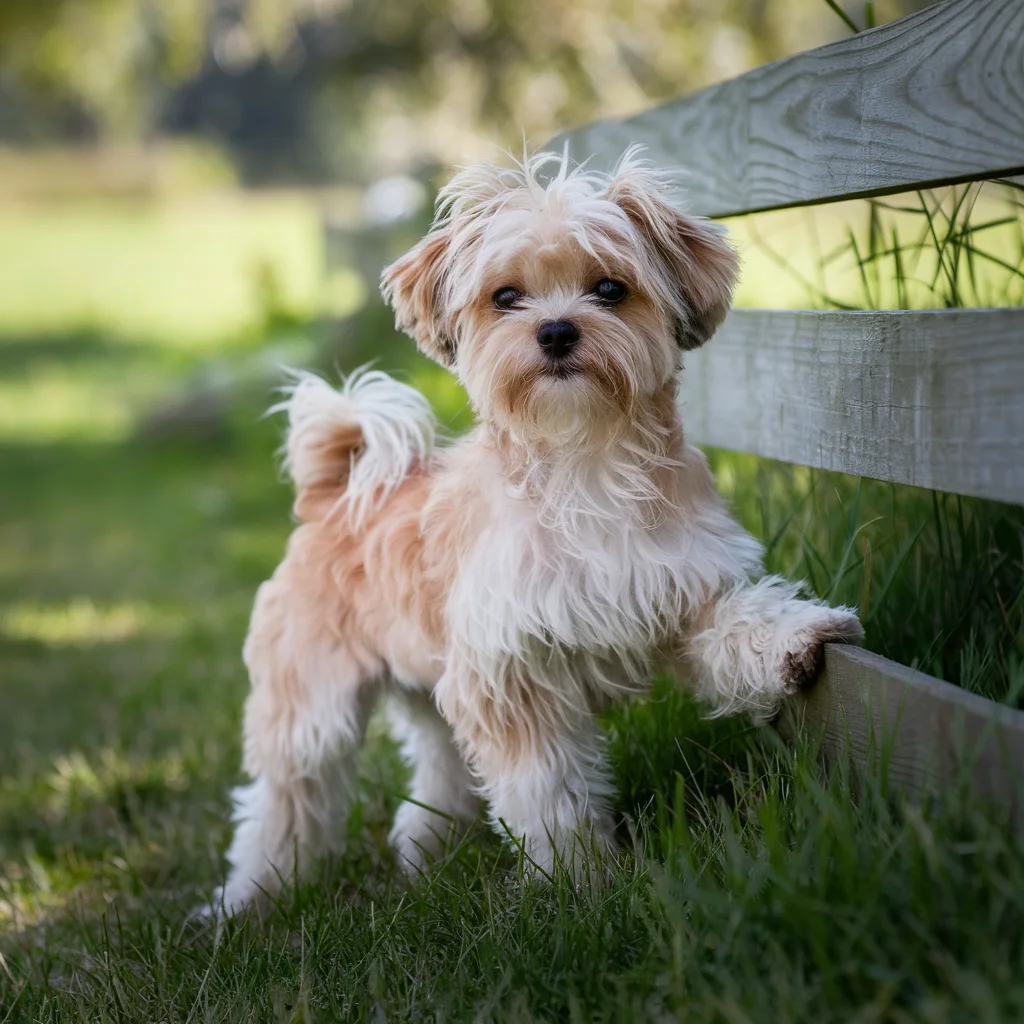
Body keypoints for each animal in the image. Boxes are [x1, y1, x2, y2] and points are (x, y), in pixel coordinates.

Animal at [209, 148, 864, 917]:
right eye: (506, 297)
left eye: (609, 288)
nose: (555, 331)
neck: (586, 465)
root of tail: (335, 493)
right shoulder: (512, 672)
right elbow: (547, 790)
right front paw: (579, 882)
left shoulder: (680, 591)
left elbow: (738, 621)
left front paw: (798, 636)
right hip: (310, 707)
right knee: (283, 803)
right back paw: (252, 899)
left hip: (430, 685)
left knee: (438, 767)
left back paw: (425, 853)